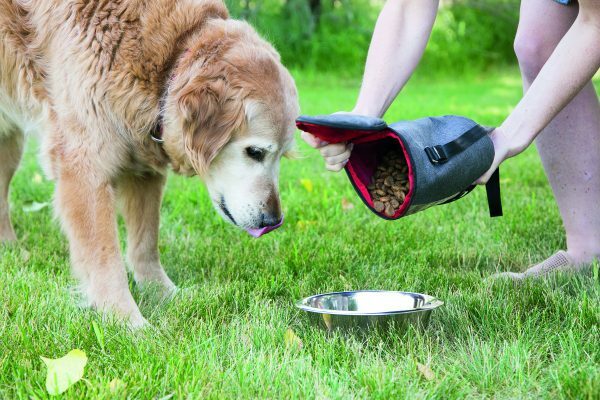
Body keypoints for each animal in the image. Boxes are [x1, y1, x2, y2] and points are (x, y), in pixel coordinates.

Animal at [0, 0, 300, 326]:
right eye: (255, 152)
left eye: (281, 156)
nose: (273, 221)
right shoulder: (84, 167)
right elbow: (105, 256)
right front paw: (125, 320)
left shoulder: (143, 168)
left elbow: (146, 243)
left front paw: (164, 293)